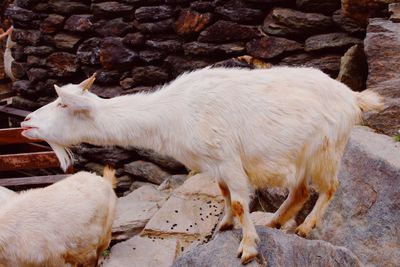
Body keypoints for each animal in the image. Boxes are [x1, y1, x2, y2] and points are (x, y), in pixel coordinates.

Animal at [20, 67, 382, 264]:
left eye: (62, 104)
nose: (25, 122)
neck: (173, 111)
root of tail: (352, 97)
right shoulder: (215, 165)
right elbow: (225, 195)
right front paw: (224, 226)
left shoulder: (228, 158)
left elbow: (240, 201)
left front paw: (247, 248)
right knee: (300, 192)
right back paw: (276, 222)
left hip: (325, 151)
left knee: (328, 188)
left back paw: (305, 228)